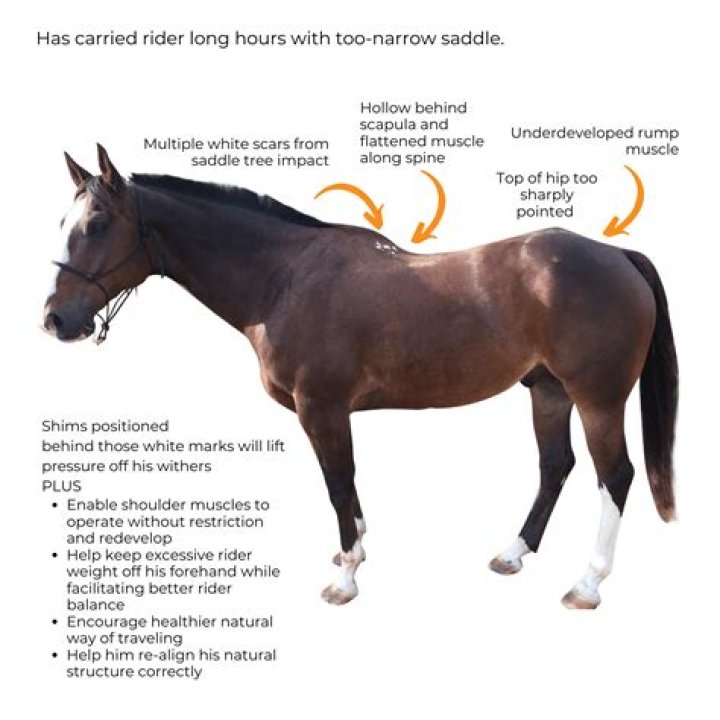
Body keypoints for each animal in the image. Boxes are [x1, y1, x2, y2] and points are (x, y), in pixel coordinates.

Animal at [43, 145, 678, 609]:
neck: (284, 279)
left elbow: (337, 482)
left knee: (615, 475)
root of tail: (618, 257)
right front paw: (357, 551)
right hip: (547, 392)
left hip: (597, 398)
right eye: (64, 221)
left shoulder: (321, 409)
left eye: (97, 224)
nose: (56, 320)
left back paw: (587, 584)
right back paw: (513, 553)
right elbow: (347, 491)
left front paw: (345, 577)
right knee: (555, 467)